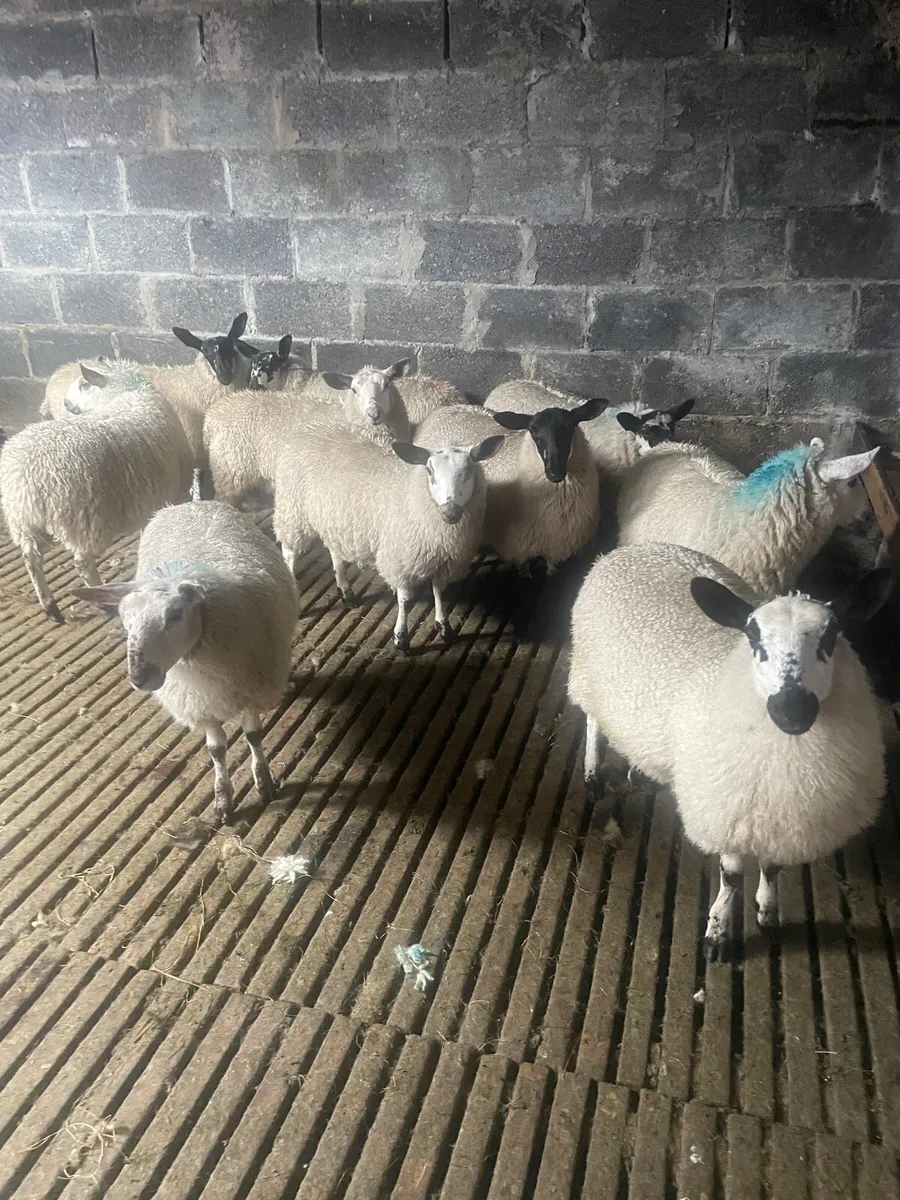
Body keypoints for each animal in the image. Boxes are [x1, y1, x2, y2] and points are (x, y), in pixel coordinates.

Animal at [1, 362, 193, 622]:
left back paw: (50, 607)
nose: (66, 404)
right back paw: (101, 600)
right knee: (82, 562)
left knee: (30, 558)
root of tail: (27, 478)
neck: (126, 392)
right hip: (80, 520)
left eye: (84, 384)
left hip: (24, 523)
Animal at [72, 500, 298, 823]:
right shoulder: (198, 701)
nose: (140, 678)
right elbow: (216, 749)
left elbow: (253, 735)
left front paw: (264, 781)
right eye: (124, 619)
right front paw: (223, 799)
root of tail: (191, 502)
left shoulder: (252, 688)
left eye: (175, 614)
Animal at [273, 426, 504, 651]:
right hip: (293, 513)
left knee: (334, 551)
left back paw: (346, 592)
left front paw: (445, 628)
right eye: (429, 471)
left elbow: (440, 592)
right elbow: (406, 601)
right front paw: (400, 638)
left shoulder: (443, 560)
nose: (450, 512)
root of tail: (305, 432)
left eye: (469, 470)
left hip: (332, 520)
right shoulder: (400, 560)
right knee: (289, 552)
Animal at [416, 399, 604, 573]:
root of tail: (450, 407)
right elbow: (524, 571)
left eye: (571, 428)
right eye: (533, 433)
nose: (554, 472)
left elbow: (551, 569)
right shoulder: (518, 549)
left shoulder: (556, 548)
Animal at [568, 541, 890, 962]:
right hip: (588, 673)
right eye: (753, 638)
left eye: (832, 635)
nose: (792, 710)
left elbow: (772, 869)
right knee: (592, 720)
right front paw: (718, 933)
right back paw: (593, 775)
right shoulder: (728, 811)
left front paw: (768, 916)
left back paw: (642, 773)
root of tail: (630, 550)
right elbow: (732, 876)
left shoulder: (775, 819)